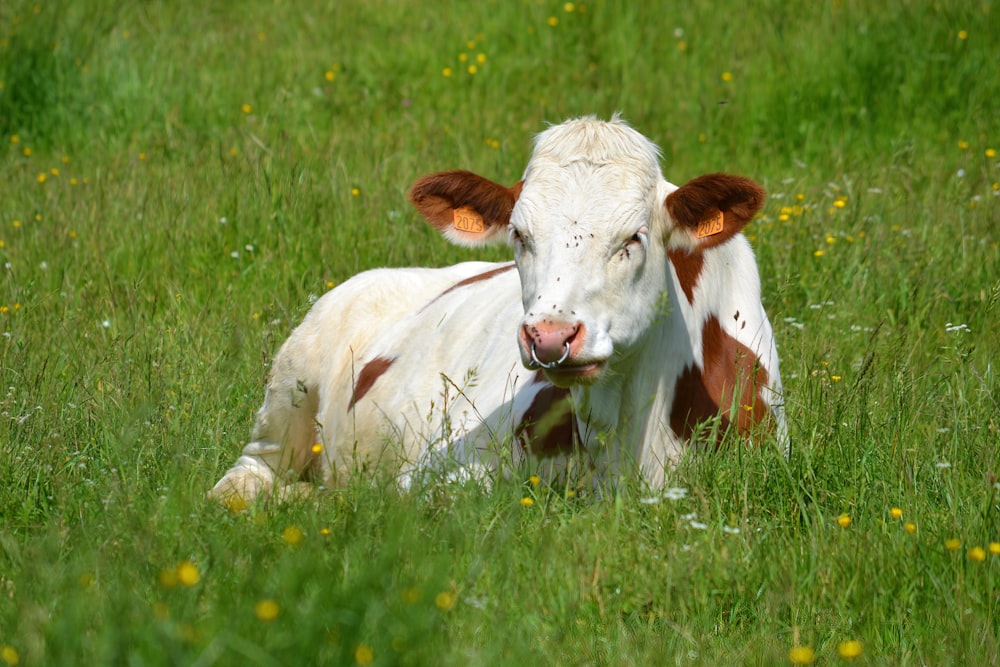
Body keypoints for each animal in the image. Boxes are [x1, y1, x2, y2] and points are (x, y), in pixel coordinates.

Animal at [211, 117, 784, 506]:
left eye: (634, 238)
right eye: (519, 234)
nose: (550, 337)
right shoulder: (433, 473)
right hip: (289, 391)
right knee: (245, 480)